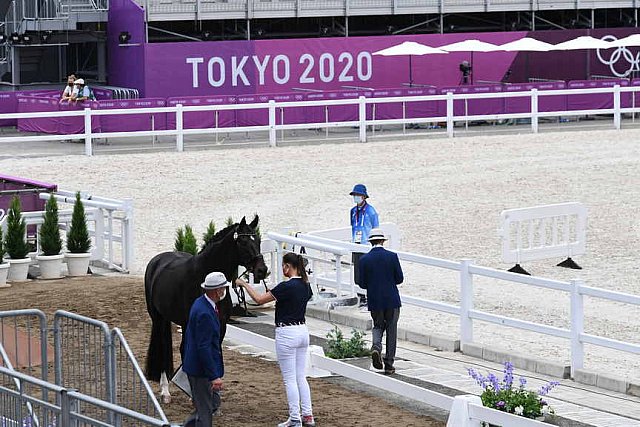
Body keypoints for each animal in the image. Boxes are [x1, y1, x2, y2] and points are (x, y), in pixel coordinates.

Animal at [144, 217, 266, 402]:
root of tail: (157, 260)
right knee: (164, 348)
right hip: (158, 318)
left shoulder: (221, 325)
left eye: (258, 240)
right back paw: (165, 391)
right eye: (243, 241)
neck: (206, 277)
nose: (262, 270)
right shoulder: (192, 322)